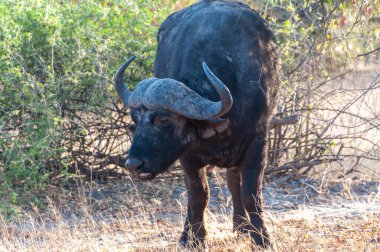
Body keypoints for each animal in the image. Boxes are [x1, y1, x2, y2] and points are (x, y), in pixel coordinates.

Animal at [114, 0, 278, 248]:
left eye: (163, 119)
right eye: (135, 120)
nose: (133, 164)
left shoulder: (258, 142)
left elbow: (251, 194)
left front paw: (261, 238)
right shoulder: (187, 154)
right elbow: (198, 195)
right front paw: (195, 238)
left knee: (234, 181)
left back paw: (242, 227)